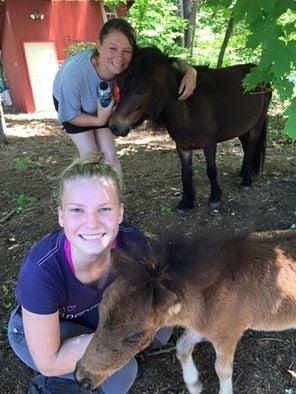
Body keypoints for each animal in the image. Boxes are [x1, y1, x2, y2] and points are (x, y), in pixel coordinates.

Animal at [75, 229, 296, 392]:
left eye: (134, 336)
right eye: (100, 312)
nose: (81, 378)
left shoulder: (228, 333)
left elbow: (222, 370)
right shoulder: (206, 327)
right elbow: (181, 346)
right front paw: (194, 385)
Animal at [109, 48, 272, 212]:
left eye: (140, 90)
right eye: (119, 88)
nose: (114, 125)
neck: (188, 107)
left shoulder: (209, 144)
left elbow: (211, 170)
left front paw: (215, 198)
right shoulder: (182, 146)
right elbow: (186, 174)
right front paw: (186, 202)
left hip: (257, 124)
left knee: (251, 148)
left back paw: (246, 181)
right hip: (243, 128)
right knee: (246, 147)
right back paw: (243, 173)